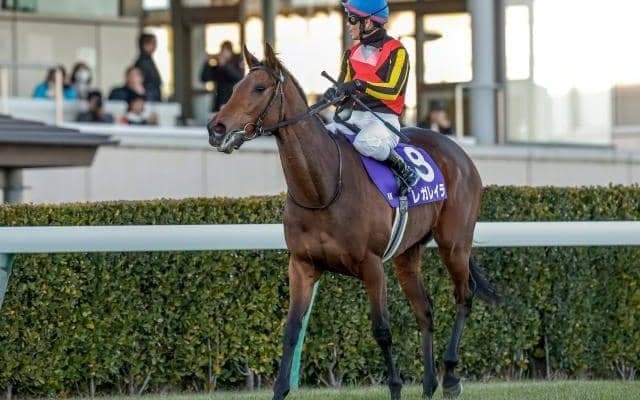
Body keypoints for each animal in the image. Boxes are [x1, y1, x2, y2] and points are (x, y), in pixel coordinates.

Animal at [207, 43, 499, 400]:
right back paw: (430, 384)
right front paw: (279, 390)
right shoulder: (302, 264)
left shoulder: (372, 265)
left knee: (464, 296)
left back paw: (452, 376)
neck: (323, 188)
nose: (216, 128)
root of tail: (460, 153)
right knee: (425, 310)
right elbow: (291, 329)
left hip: (454, 243)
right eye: (235, 87)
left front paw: (395, 387)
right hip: (407, 253)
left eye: (259, 88)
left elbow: (382, 329)